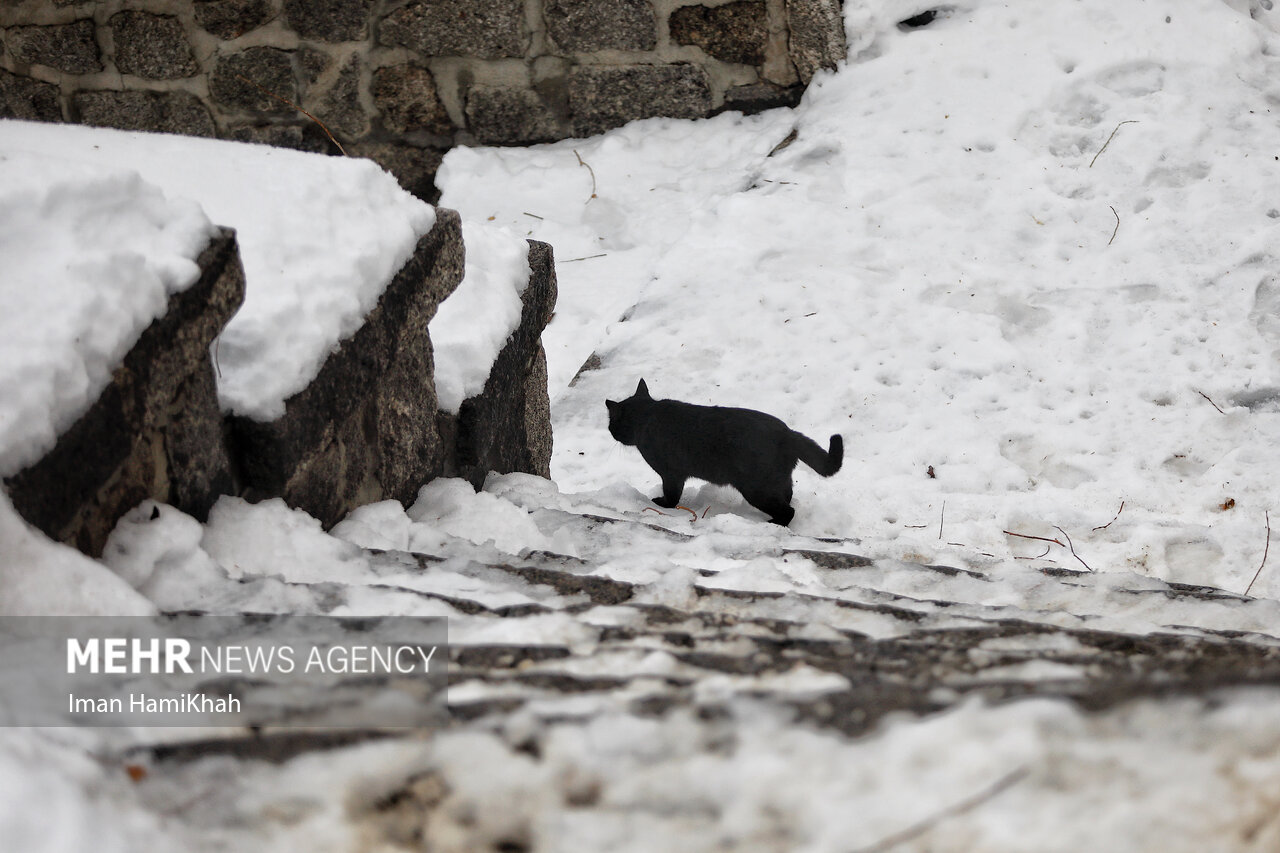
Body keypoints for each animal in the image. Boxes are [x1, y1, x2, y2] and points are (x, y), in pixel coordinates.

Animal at [606, 379, 844, 525]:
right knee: (789, 497)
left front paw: (663, 505)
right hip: (778, 481)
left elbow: (672, 495)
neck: (647, 415)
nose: (610, 431)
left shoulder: (671, 474)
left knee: (788, 510)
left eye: (612, 424)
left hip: (756, 488)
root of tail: (787, 433)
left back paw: (773, 524)